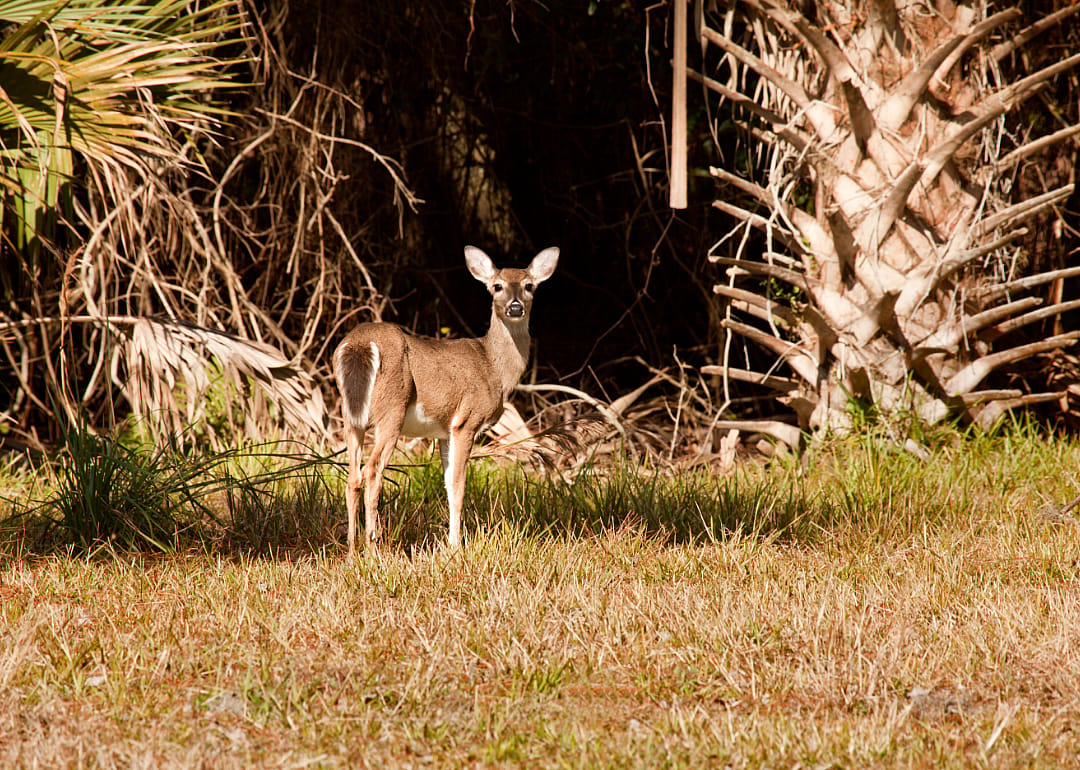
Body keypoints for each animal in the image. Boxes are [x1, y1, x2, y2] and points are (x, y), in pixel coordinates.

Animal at [333, 245, 560, 553]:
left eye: (529, 286)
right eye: (497, 286)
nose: (515, 307)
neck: (493, 367)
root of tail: (358, 344)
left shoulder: (443, 429)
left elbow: (448, 485)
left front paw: (450, 542)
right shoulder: (467, 420)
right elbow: (459, 485)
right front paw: (455, 546)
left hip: (351, 413)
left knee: (352, 475)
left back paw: (350, 549)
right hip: (392, 407)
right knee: (372, 471)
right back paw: (372, 548)